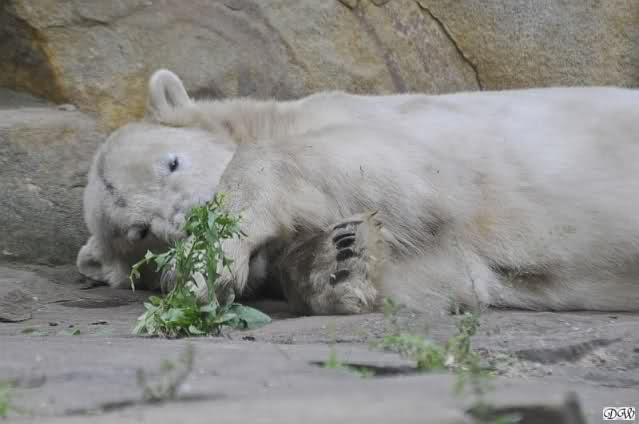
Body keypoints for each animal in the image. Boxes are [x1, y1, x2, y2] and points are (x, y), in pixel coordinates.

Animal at [77, 68, 639, 314]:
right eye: (140, 233)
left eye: (173, 162)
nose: (190, 219)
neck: (269, 116)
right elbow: (452, 273)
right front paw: (339, 259)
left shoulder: (393, 125)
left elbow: (403, 172)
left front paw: (209, 261)